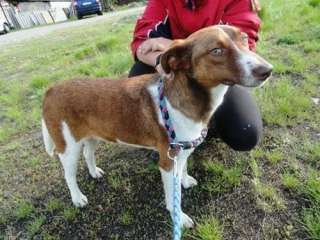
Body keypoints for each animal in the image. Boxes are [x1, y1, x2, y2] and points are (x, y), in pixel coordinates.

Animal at [41, 25, 272, 228]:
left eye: (244, 39)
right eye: (216, 51)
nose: (267, 70)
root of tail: (51, 89)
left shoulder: (182, 150)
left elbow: (183, 169)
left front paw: (184, 181)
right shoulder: (167, 161)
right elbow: (172, 195)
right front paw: (179, 216)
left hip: (92, 136)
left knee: (88, 153)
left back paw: (94, 172)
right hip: (68, 147)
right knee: (69, 175)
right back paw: (77, 198)